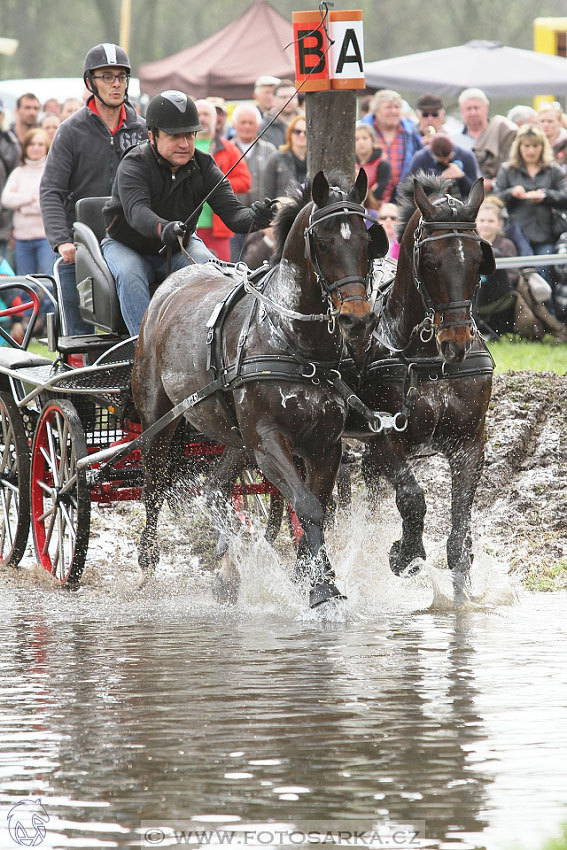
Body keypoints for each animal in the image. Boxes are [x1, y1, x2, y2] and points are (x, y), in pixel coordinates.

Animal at [132, 169, 390, 608]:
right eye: (323, 242)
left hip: (237, 436)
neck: (295, 344)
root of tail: (171, 283)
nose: (357, 319)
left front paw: (309, 575)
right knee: (155, 486)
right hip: (158, 424)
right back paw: (149, 563)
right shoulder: (269, 441)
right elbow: (307, 506)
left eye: (366, 240)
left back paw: (227, 569)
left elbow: (315, 508)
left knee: (215, 488)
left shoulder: (325, 446)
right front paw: (322, 589)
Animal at [348, 171, 500, 596]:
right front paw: (405, 553)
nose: (457, 343)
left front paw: (461, 586)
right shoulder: (383, 436)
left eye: (478, 259)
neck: (429, 359)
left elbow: (459, 526)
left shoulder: (469, 442)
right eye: (430, 262)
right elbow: (413, 498)